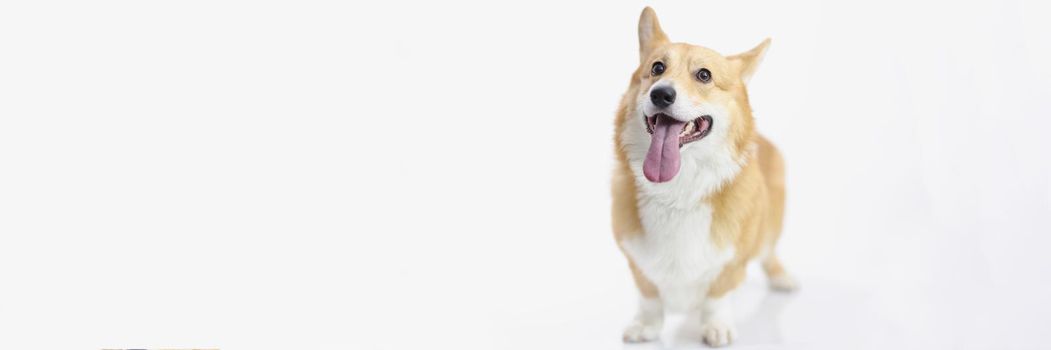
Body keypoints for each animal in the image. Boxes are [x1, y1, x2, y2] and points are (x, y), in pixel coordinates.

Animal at [609, 6, 794, 344]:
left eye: (704, 75)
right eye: (657, 68)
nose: (661, 94)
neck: (677, 193)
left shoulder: (733, 260)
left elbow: (716, 296)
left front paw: (716, 327)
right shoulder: (635, 259)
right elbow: (649, 295)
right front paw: (647, 326)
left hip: (773, 223)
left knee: (770, 251)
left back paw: (782, 278)